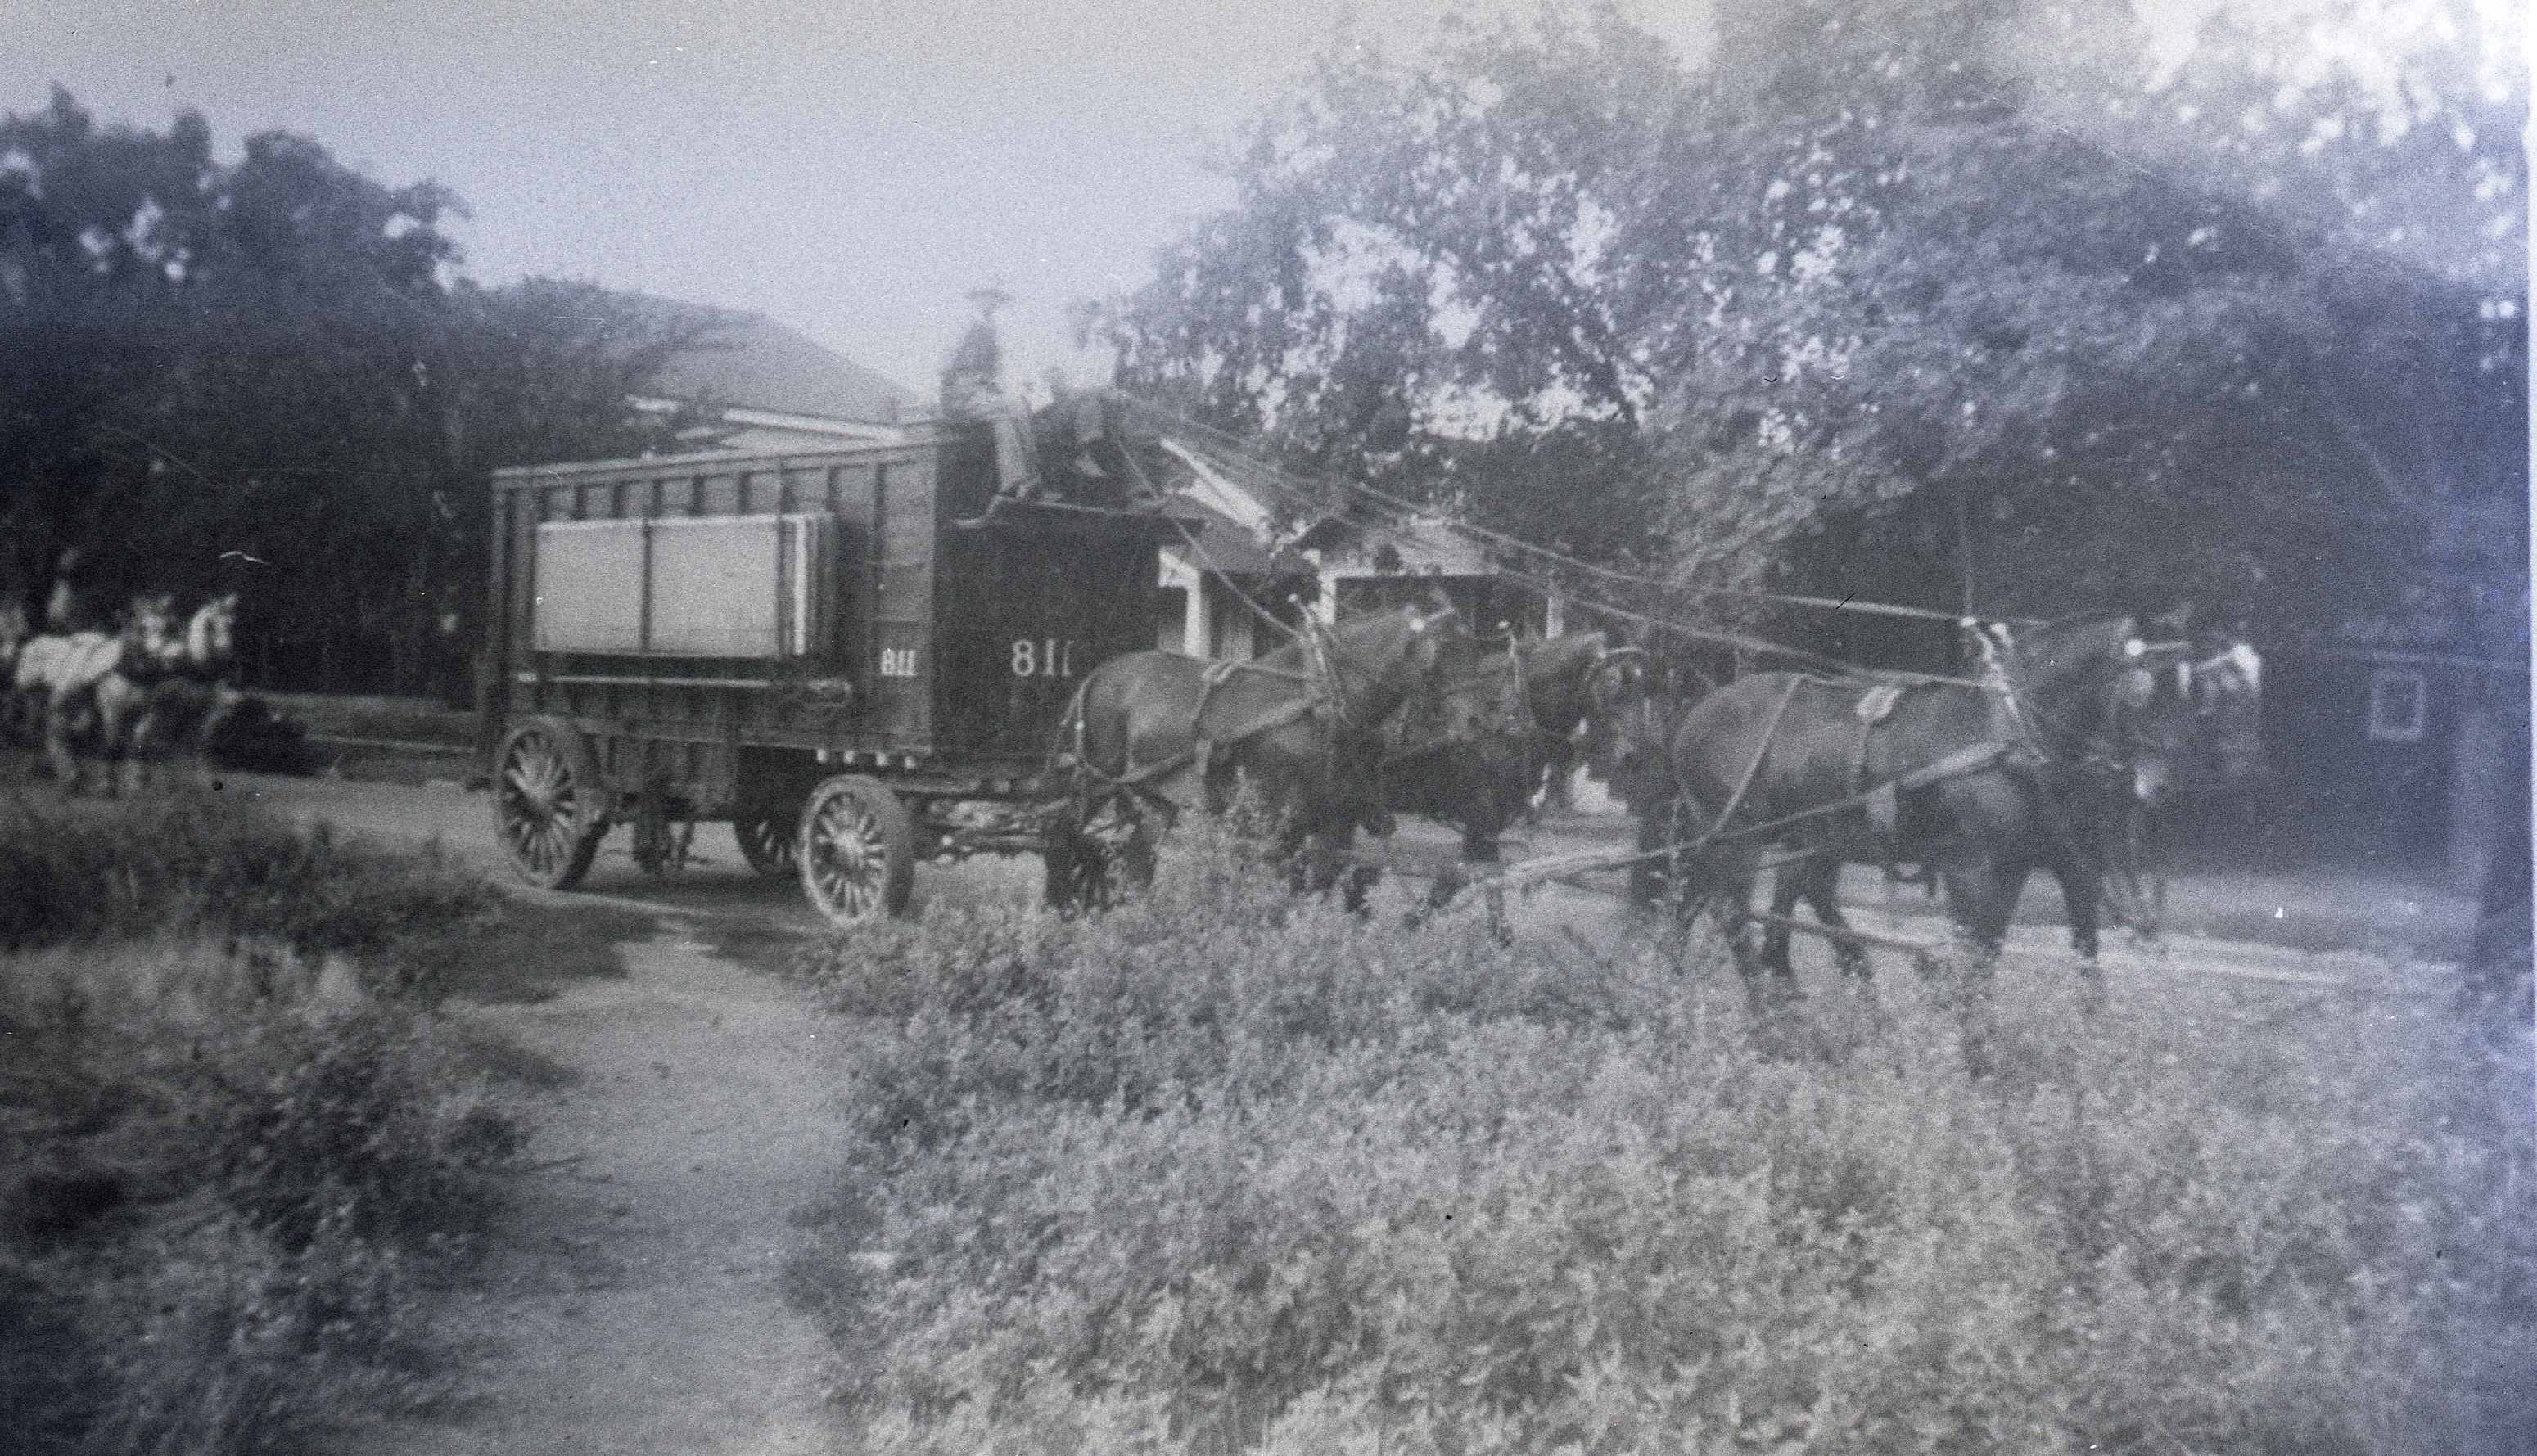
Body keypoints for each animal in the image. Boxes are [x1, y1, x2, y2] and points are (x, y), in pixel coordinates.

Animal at [1035, 598, 1471, 908]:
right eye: (1438, 659)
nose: (1474, 719)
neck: (1322, 702)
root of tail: (1098, 674)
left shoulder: (1332, 818)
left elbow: (1315, 882)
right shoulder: (1278, 817)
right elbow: (1277, 885)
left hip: (1156, 798)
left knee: (1135, 860)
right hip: (1095, 783)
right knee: (1061, 838)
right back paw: (1059, 908)